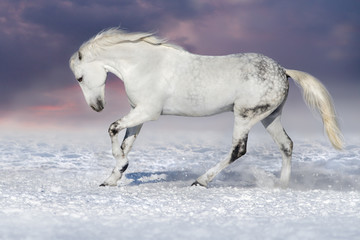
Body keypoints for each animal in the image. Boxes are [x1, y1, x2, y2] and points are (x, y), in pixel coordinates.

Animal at [68, 28, 344, 188]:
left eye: (79, 78)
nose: (97, 106)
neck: (144, 65)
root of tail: (283, 71)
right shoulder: (139, 113)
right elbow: (125, 142)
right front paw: (112, 179)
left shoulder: (148, 112)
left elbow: (112, 129)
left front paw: (120, 167)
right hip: (270, 117)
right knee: (286, 145)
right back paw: (282, 186)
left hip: (245, 116)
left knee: (238, 150)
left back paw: (200, 181)